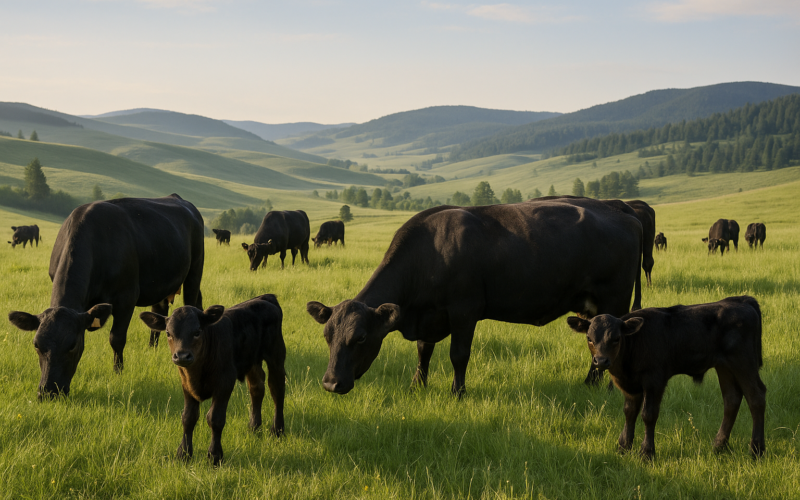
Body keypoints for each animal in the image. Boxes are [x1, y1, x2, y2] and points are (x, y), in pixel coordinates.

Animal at [7, 194, 204, 399]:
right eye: (36, 344)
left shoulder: (127, 297)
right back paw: (152, 349)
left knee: (192, 304)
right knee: (160, 311)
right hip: (162, 282)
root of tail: (177, 198)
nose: (48, 392)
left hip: (195, 270)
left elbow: (116, 338)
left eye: (72, 345)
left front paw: (118, 373)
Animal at [139, 294, 286, 466]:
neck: (197, 371)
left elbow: (215, 418)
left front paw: (215, 456)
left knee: (277, 389)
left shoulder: (225, 382)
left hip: (276, 355)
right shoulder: (186, 385)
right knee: (257, 388)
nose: (182, 356)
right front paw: (183, 454)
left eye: (197, 332)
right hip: (252, 361)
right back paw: (253, 427)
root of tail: (265, 298)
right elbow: (188, 417)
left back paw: (277, 430)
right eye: (168, 333)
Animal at [306, 198, 642, 397]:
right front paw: (418, 385)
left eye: (361, 338)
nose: (331, 383)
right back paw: (589, 384)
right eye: (326, 336)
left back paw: (605, 388)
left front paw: (458, 392)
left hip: (614, 301)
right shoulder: (429, 314)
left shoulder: (464, 311)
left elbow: (458, 355)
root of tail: (618, 206)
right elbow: (423, 351)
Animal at [566, 296, 765, 460]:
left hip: (743, 362)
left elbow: (648, 414)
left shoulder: (654, 380)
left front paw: (647, 453)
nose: (601, 360)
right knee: (731, 399)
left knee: (756, 397)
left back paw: (757, 450)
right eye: (589, 338)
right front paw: (623, 447)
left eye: (616, 338)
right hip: (724, 366)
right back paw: (718, 446)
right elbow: (629, 412)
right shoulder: (630, 386)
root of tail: (742, 300)